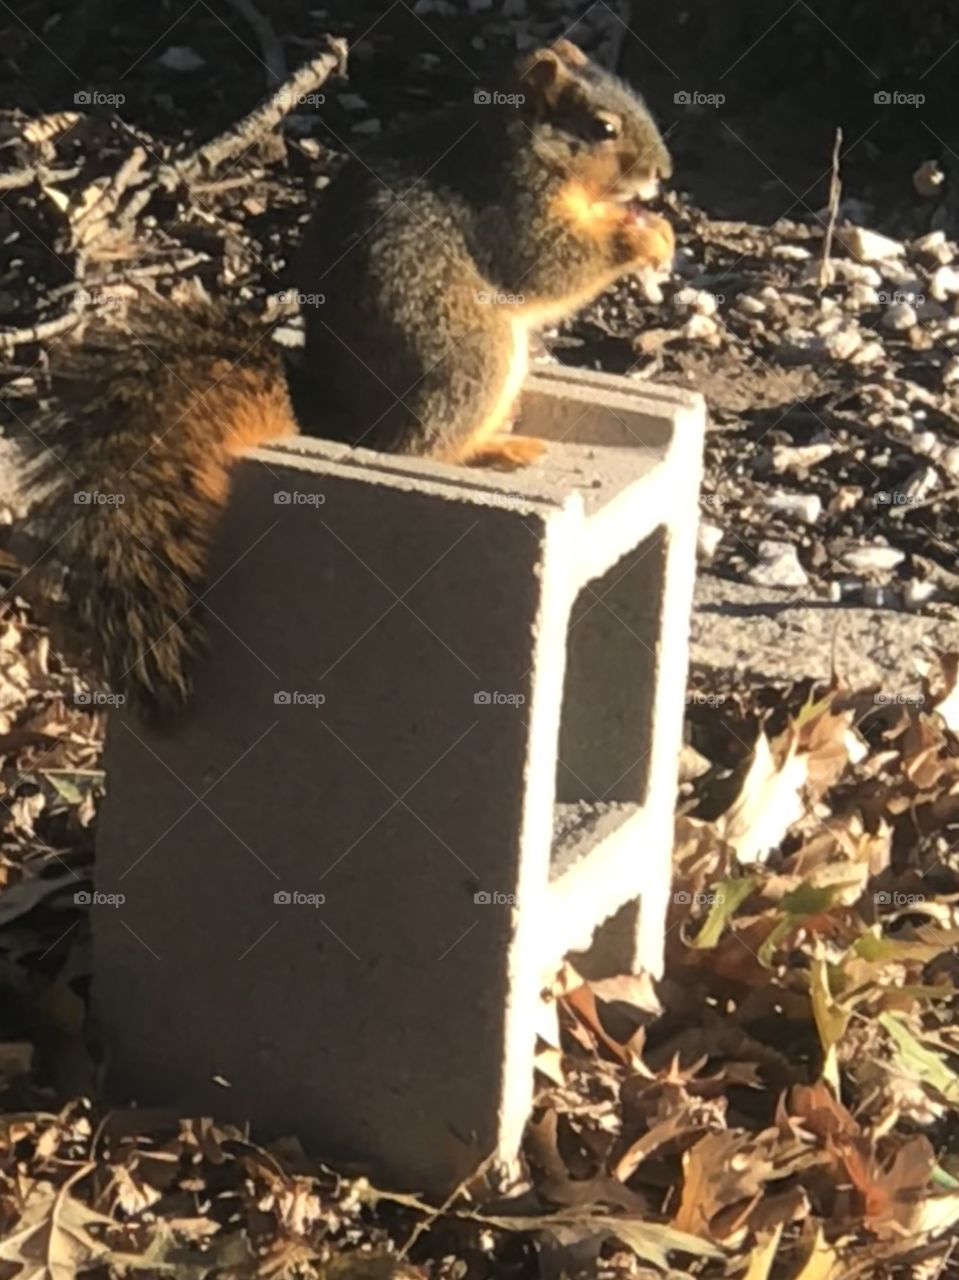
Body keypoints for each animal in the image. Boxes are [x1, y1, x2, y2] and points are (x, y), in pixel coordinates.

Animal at [16, 40, 670, 727]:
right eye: (602, 128)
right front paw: (642, 237)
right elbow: (552, 266)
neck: (518, 146)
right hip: (475, 356)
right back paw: (488, 450)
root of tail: (342, 420)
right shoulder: (507, 207)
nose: (663, 174)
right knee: (418, 448)